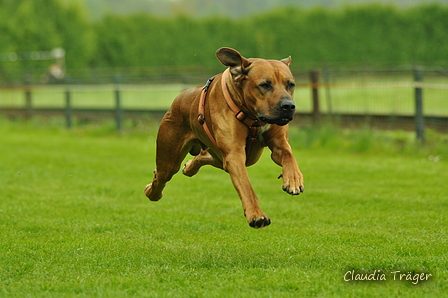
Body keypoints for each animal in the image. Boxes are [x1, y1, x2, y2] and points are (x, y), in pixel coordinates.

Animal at [144, 47, 304, 228]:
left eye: (290, 84)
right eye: (265, 85)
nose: (289, 106)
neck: (253, 117)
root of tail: (179, 98)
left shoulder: (279, 144)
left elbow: (288, 155)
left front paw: (294, 179)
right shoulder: (234, 154)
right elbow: (246, 186)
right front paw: (256, 215)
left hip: (223, 156)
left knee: (204, 155)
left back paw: (189, 167)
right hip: (169, 157)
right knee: (161, 175)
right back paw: (151, 192)